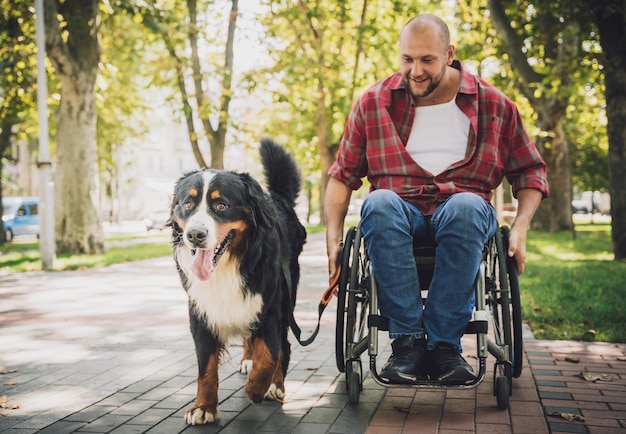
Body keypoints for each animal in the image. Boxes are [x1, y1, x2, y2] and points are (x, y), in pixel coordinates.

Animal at [167, 138, 306, 424]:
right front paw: (203, 407)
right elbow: (205, 367)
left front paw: (257, 388)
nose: (194, 234)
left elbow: (271, 355)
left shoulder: (270, 306)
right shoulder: (201, 311)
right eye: (188, 204)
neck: (229, 265)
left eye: (221, 205)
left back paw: (273, 385)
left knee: (282, 345)